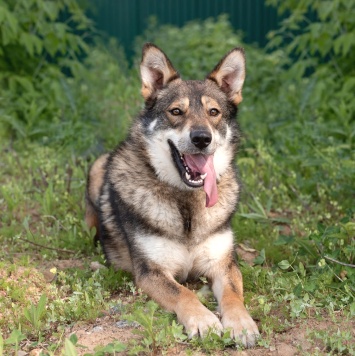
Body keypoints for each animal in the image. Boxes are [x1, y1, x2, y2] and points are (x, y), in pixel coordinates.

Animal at [85, 43, 260, 346]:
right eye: (176, 111)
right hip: (97, 169)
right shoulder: (151, 273)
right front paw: (203, 320)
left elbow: (233, 296)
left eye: (213, 112)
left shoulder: (223, 265)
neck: (186, 202)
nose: (201, 138)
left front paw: (241, 323)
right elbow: (184, 293)